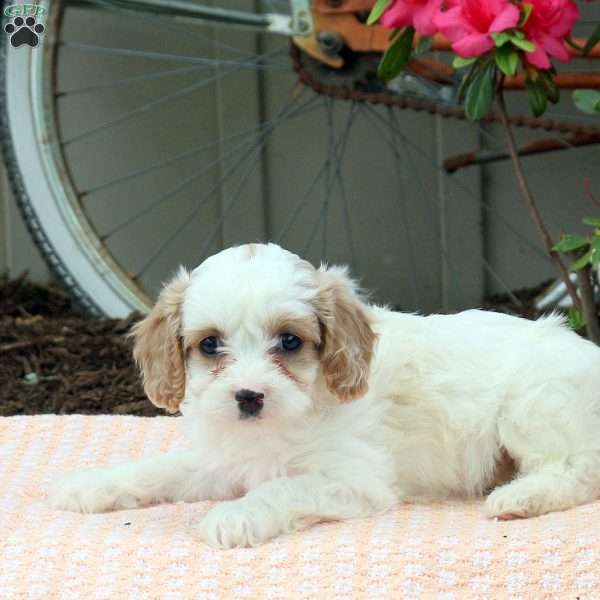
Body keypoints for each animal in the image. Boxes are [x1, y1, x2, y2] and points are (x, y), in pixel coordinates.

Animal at [48, 241, 600, 548]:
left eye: (290, 342)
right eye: (210, 345)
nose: (248, 397)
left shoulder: (352, 480)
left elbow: (280, 489)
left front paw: (232, 517)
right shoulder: (222, 462)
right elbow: (157, 469)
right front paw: (89, 485)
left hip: (533, 405)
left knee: (579, 472)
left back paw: (518, 497)